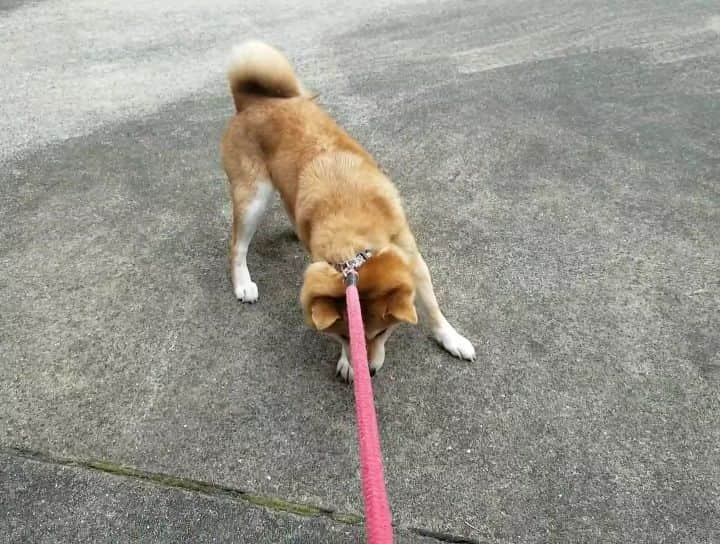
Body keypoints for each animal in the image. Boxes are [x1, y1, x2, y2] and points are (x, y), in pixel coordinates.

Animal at [222, 41, 476, 382]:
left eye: (382, 333)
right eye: (343, 336)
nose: (369, 372)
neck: (350, 222)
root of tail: (251, 102)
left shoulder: (412, 259)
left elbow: (433, 309)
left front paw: (451, 338)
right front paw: (347, 362)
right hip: (253, 197)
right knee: (237, 247)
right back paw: (242, 284)